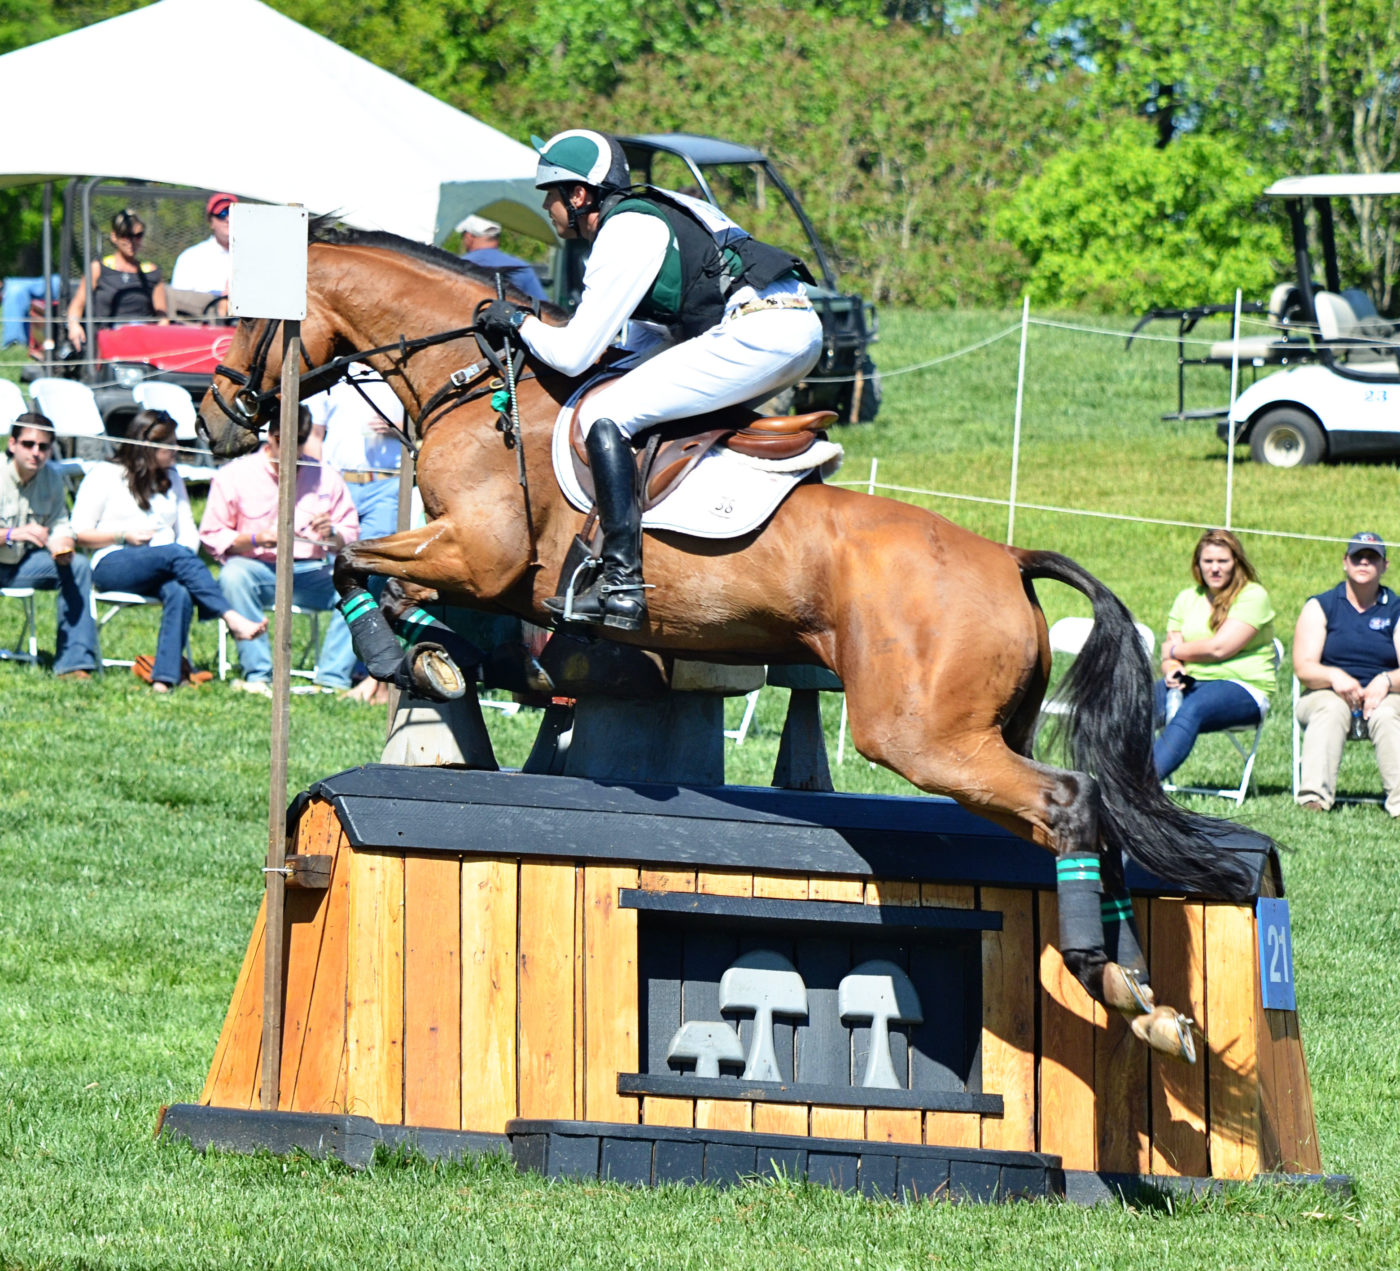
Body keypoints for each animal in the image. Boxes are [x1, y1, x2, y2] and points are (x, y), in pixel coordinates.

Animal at [200, 225, 1282, 1063]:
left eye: (243, 316)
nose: (216, 418)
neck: (475, 384)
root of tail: (1007, 555)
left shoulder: (483, 551)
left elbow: (348, 558)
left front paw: (404, 657)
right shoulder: (474, 564)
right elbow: (383, 577)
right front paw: (432, 658)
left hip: (921, 736)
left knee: (1066, 802)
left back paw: (1111, 980)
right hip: (980, 734)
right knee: (1089, 814)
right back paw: (1147, 1003)